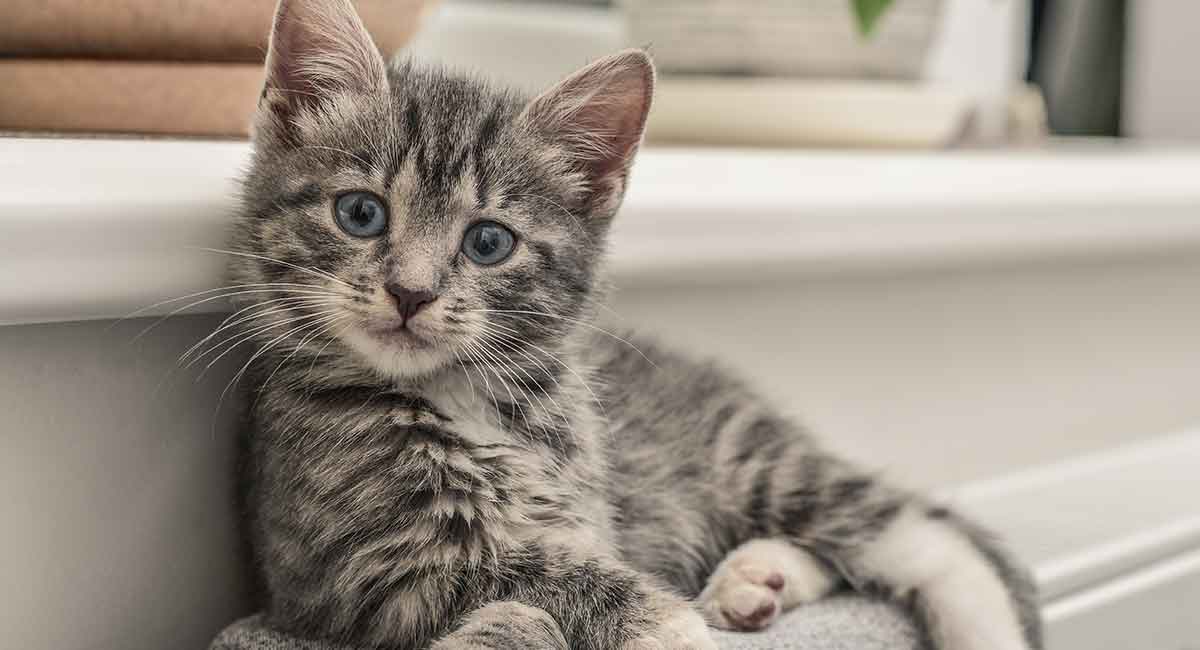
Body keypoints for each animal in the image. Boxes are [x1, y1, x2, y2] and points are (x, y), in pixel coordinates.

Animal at [226, 1, 1041, 650]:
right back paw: (758, 579)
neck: (469, 398)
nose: (410, 292)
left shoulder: (590, 510)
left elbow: (573, 561)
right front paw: (673, 626)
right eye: (360, 213)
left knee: (919, 534)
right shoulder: (364, 574)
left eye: (488, 243)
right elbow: (546, 571)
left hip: (749, 460)